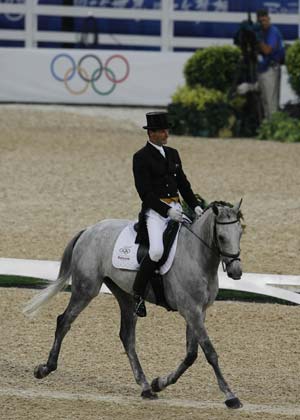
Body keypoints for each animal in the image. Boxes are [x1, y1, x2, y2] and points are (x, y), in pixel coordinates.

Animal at [23, 202, 244, 408]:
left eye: (240, 233)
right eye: (221, 237)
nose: (236, 272)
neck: (196, 256)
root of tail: (89, 230)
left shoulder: (198, 312)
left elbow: (191, 354)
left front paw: (159, 383)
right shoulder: (191, 311)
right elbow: (209, 352)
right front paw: (230, 396)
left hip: (125, 295)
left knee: (127, 336)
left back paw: (146, 387)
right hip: (86, 289)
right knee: (64, 321)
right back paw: (44, 369)